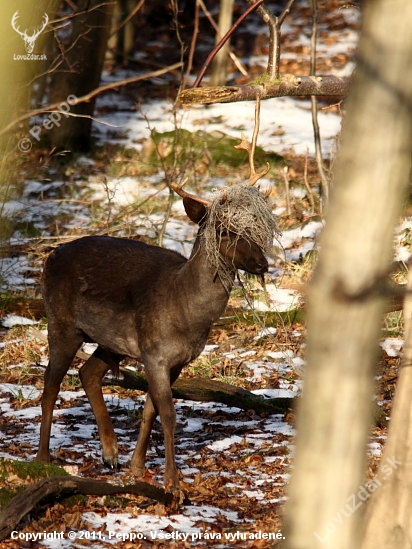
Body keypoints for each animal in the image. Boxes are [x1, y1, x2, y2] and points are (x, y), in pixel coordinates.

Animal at [35, 177, 274, 492]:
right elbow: (169, 413)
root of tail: (49, 257)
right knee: (50, 385)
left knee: (88, 372)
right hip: (61, 323)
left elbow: (152, 409)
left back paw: (111, 454)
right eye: (223, 231)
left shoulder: (177, 361)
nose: (262, 264)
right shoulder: (155, 353)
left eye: (255, 227)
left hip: (112, 342)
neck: (186, 311)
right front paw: (172, 481)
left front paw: (137, 467)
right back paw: (42, 458)